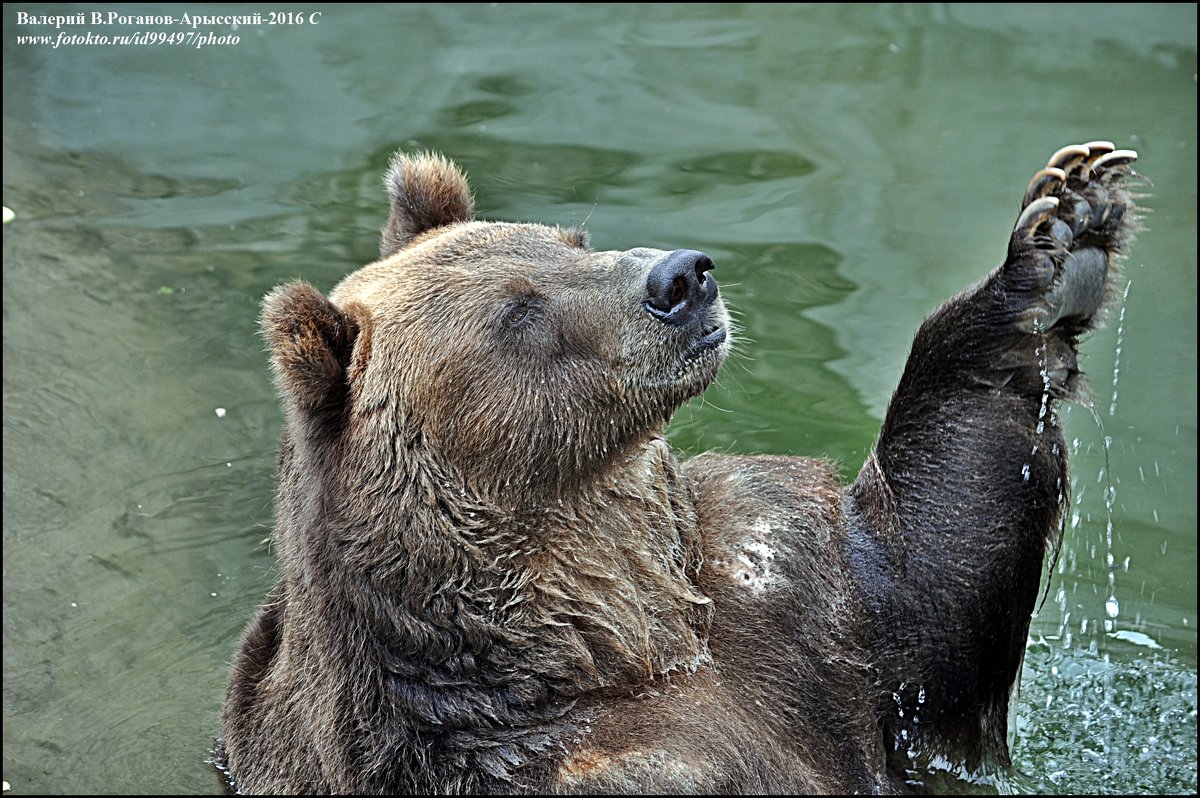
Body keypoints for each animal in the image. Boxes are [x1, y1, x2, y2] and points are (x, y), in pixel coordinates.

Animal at [216, 143, 1142, 792]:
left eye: (571, 240)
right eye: (519, 312)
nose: (681, 276)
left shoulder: (783, 586)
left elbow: (936, 577)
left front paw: (1063, 232)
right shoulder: (553, 763)